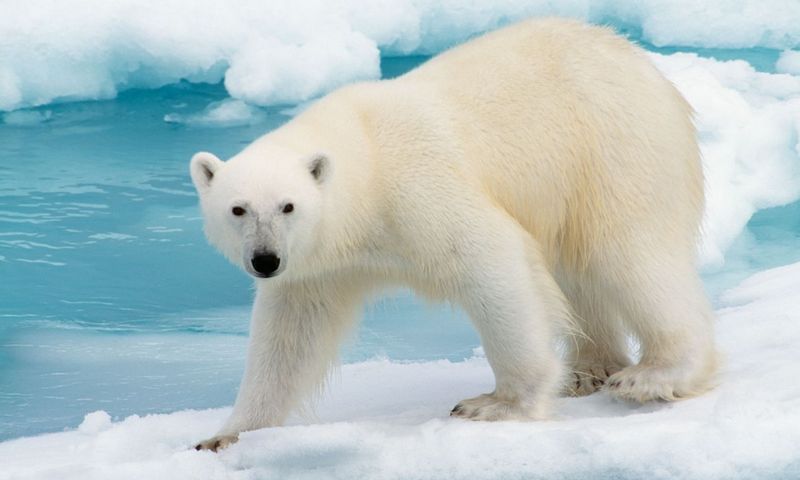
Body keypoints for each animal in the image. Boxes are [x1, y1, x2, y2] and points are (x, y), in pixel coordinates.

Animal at [190, 18, 718, 451]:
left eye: (288, 205)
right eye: (237, 209)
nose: (265, 260)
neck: (367, 166)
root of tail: (635, 57)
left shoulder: (418, 189)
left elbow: (492, 262)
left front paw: (496, 404)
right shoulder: (319, 264)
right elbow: (290, 336)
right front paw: (226, 434)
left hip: (612, 148)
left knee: (629, 255)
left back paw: (652, 376)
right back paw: (590, 370)